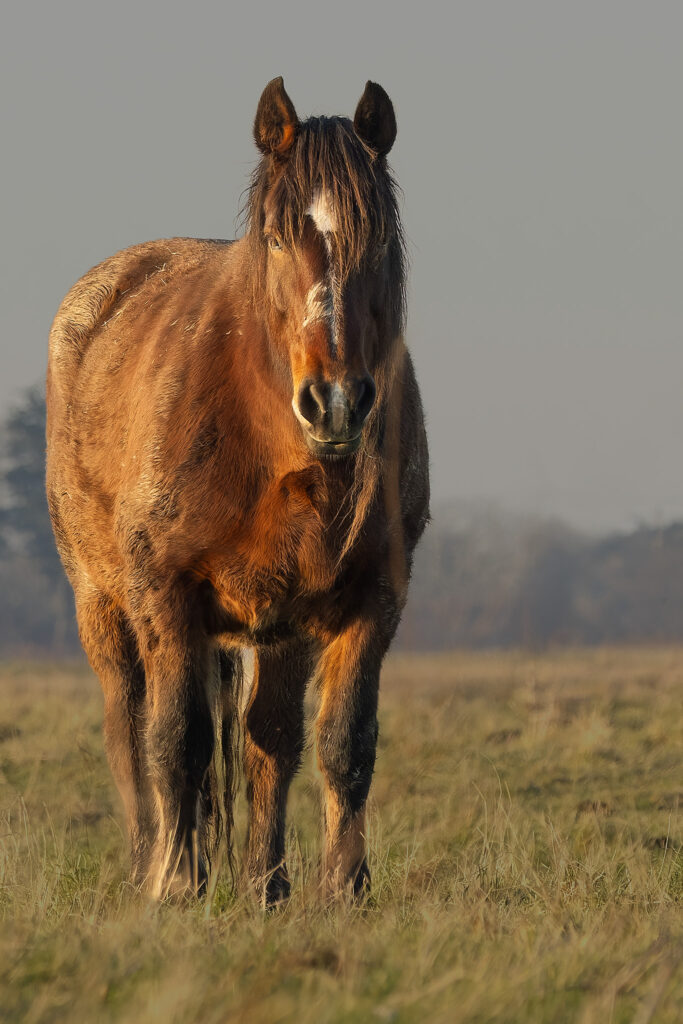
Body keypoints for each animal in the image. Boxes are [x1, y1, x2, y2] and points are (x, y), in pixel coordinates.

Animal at [46, 77, 429, 903]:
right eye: (279, 238)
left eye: (378, 238)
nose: (336, 401)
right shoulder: (165, 592)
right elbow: (176, 740)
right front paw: (174, 885)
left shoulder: (364, 599)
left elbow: (334, 743)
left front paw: (331, 889)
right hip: (103, 604)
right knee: (129, 729)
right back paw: (149, 864)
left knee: (264, 741)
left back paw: (255, 879)